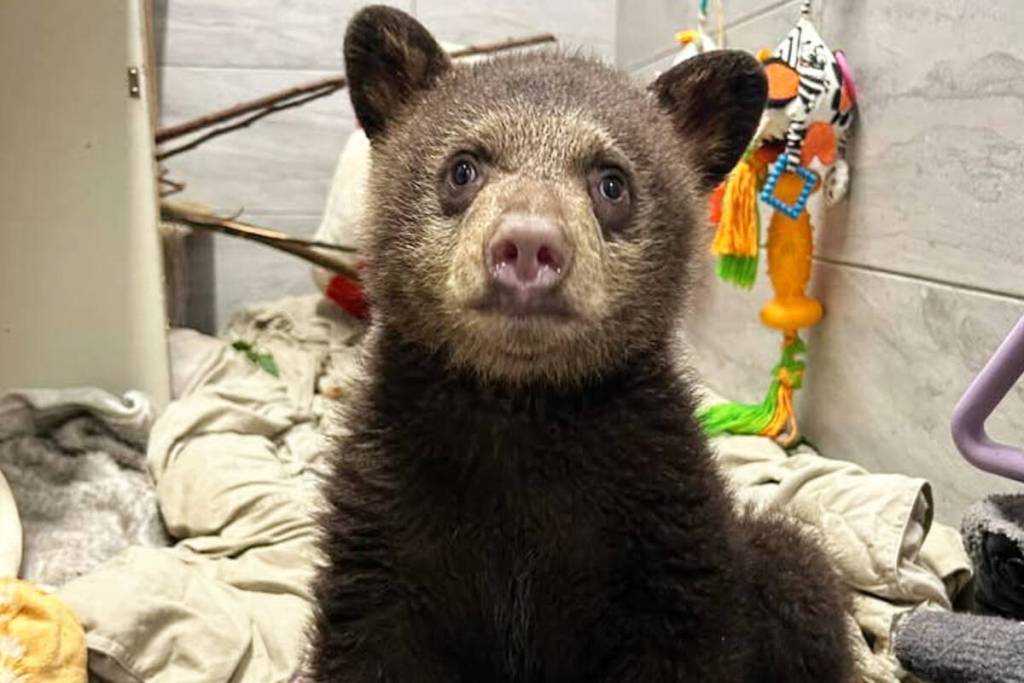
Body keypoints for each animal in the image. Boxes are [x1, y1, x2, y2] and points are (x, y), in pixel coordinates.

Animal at [309, 6, 853, 682]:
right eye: (463, 168)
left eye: (612, 183)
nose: (527, 245)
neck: (522, 407)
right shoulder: (383, 520)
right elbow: (368, 636)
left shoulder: (666, 526)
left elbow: (688, 634)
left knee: (798, 571)